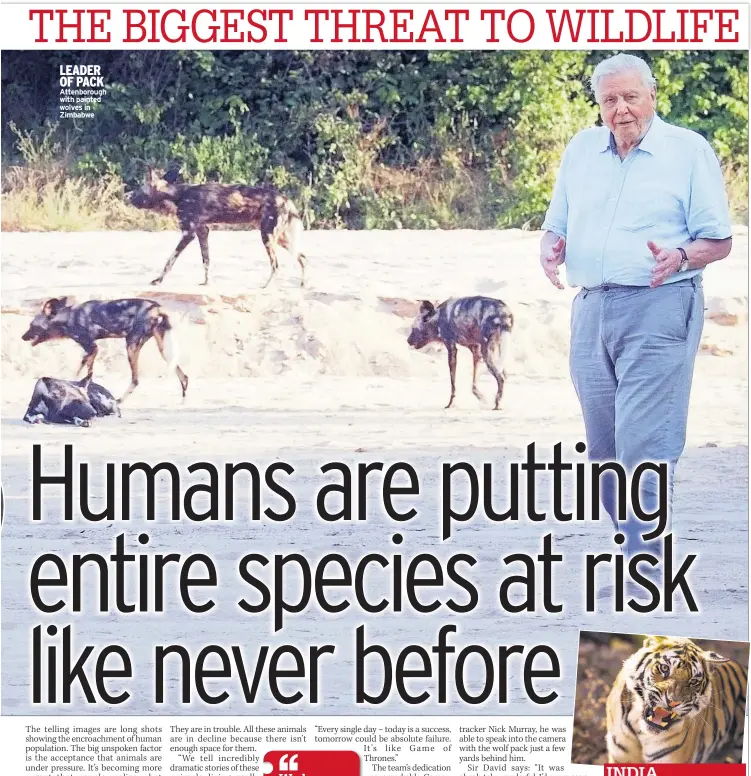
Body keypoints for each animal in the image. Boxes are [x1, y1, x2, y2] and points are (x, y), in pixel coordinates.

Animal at [21, 298, 188, 404]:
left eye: (32, 326)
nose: (23, 337)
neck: (68, 318)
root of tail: (156, 307)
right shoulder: (92, 350)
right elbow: (87, 373)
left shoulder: (91, 348)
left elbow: (81, 373)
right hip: (163, 349)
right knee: (183, 376)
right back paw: (183, 401)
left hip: (131, 347)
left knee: (135, 380)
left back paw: (119, 401)